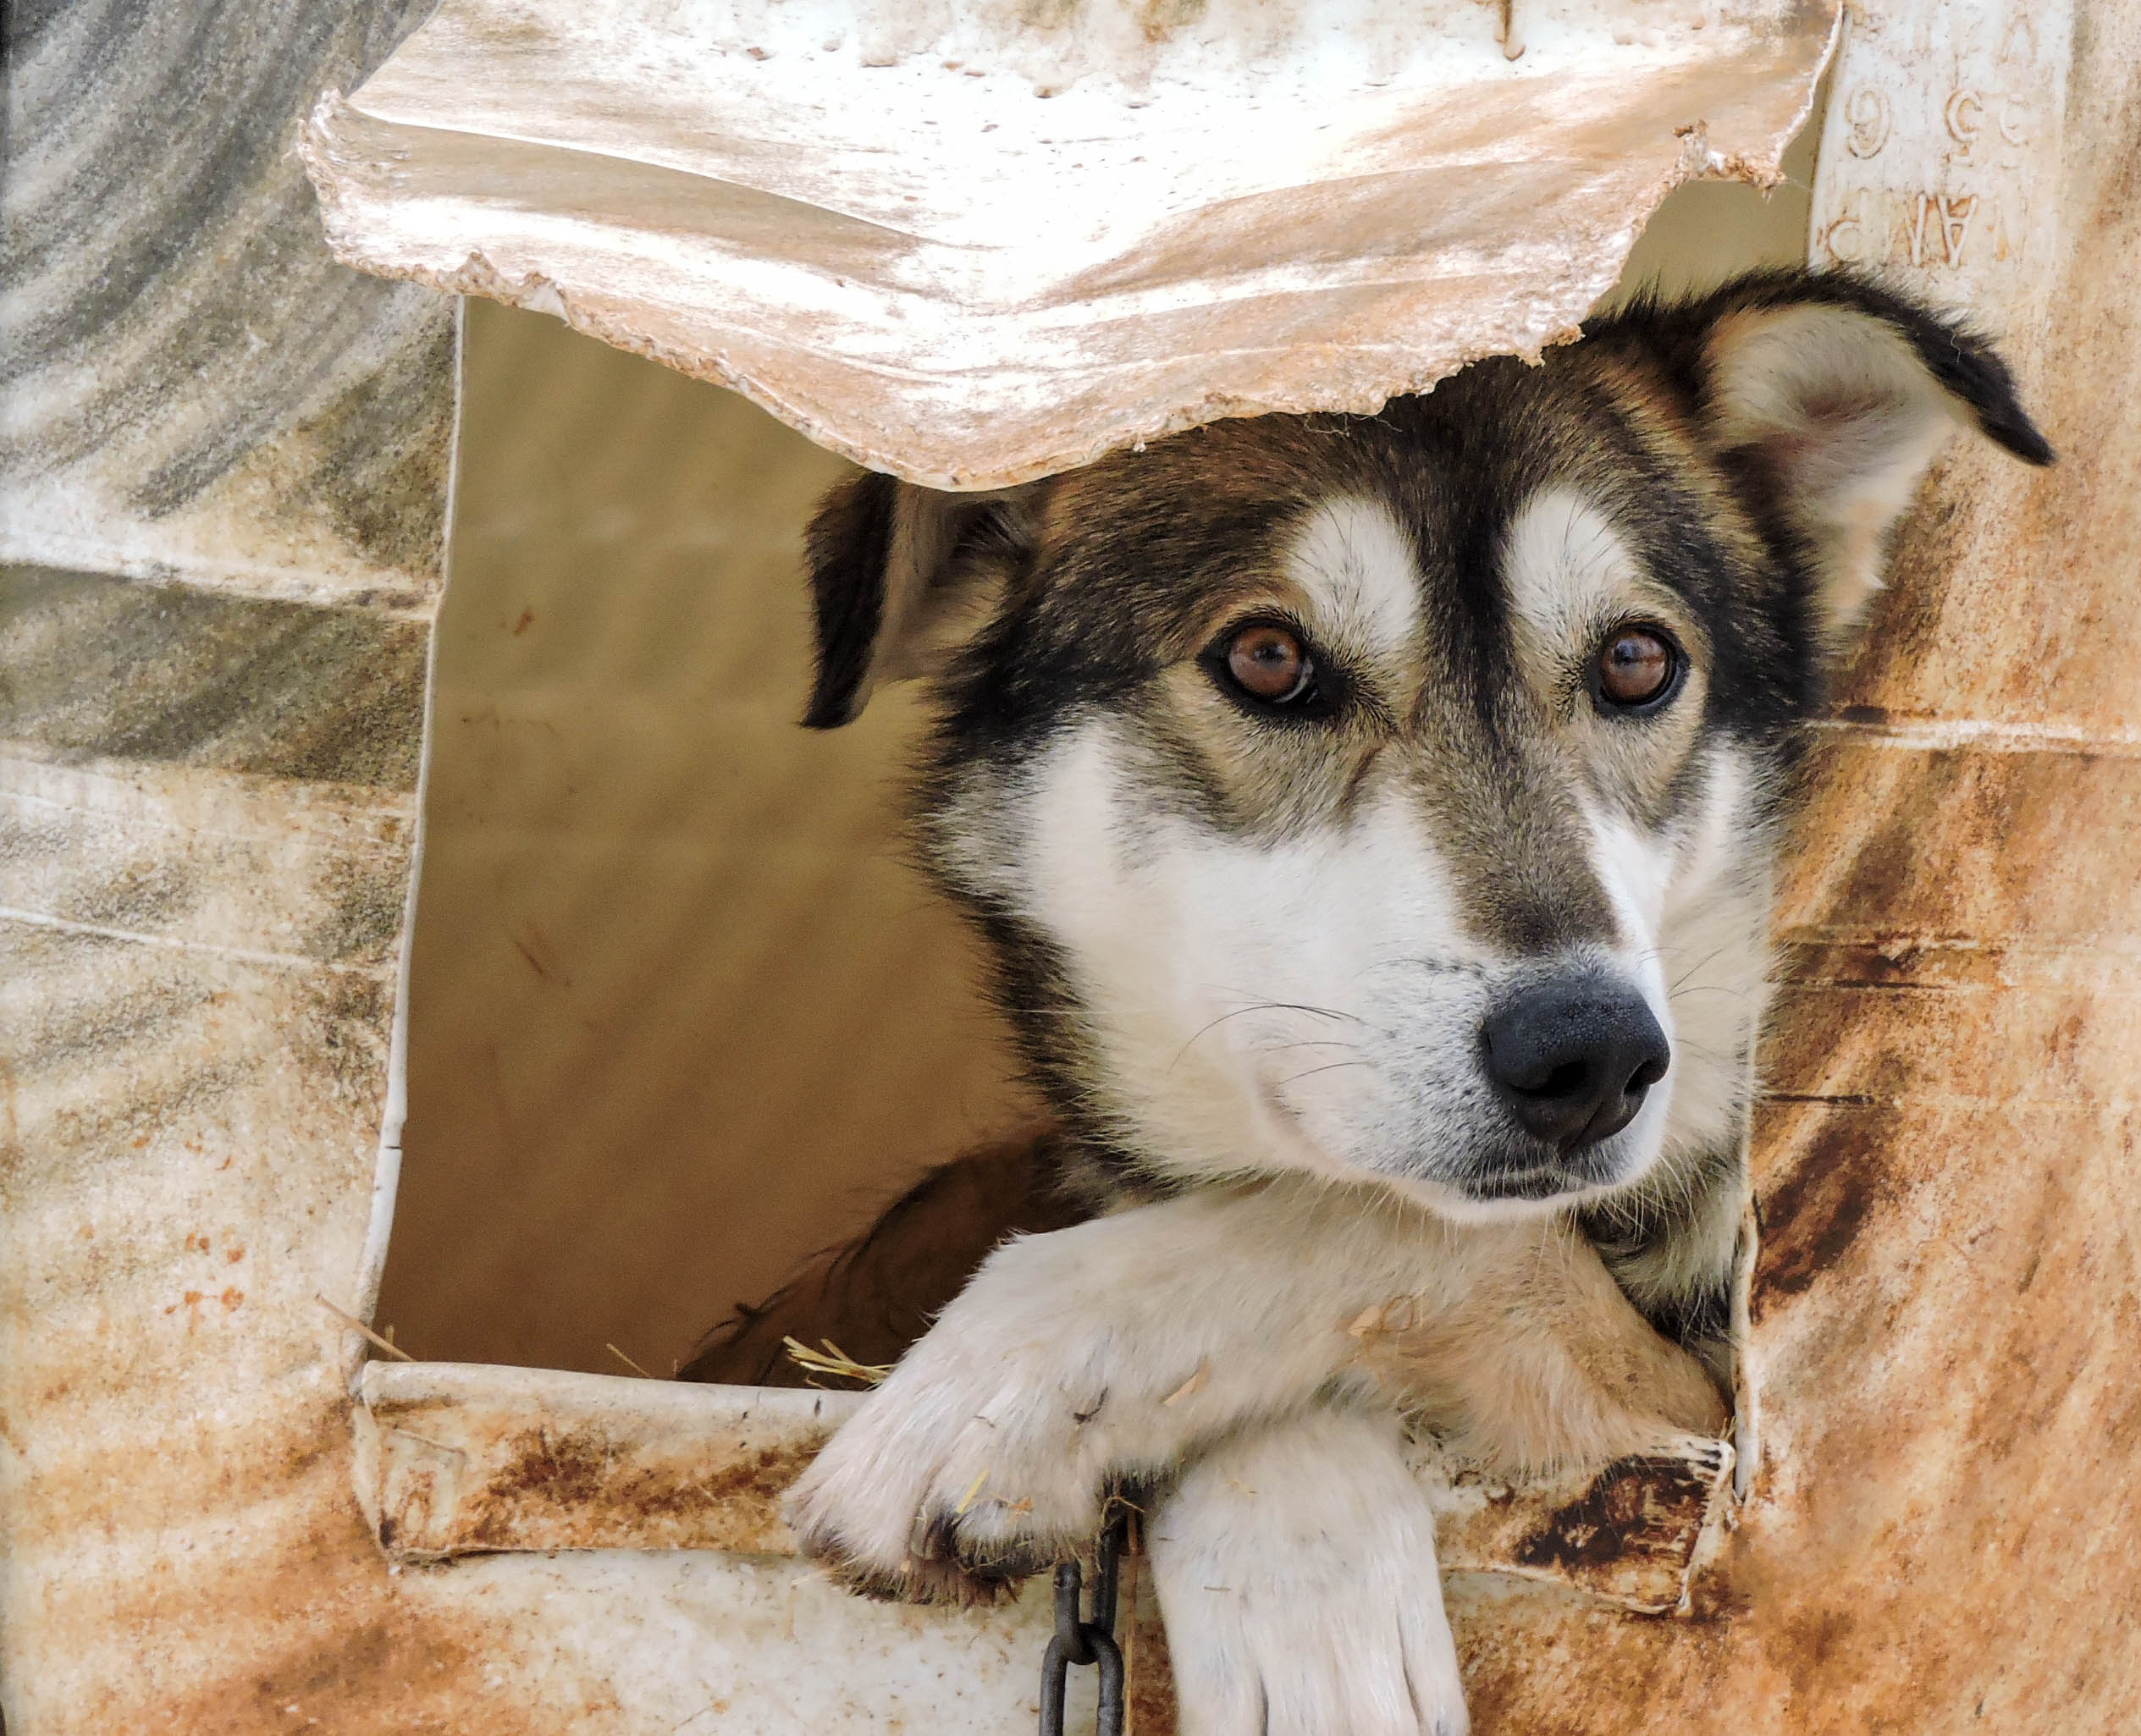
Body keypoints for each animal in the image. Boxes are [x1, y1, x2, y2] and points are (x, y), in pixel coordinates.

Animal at [715, 273, 2038, 1736]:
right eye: (1268, 657)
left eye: (1636, 661)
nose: (1592, 1057)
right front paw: (1299, 1568)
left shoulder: (1714, 1440)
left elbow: (1387, 1226)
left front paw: (1006, 1381)